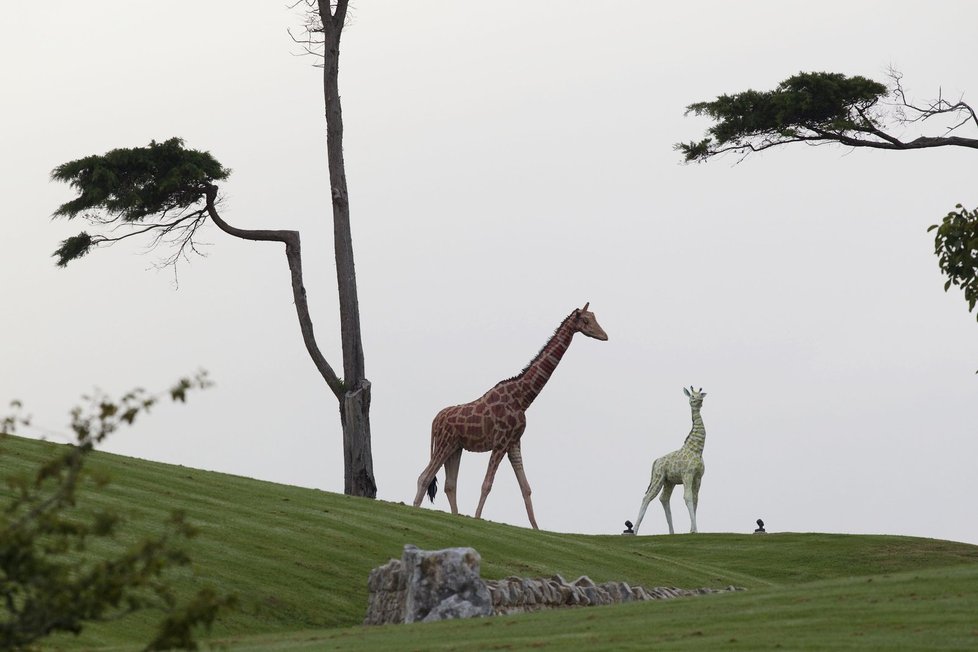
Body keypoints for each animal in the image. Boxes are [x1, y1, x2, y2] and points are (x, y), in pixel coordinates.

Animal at [410, 304, 608, 528]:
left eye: (594, 317)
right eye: (585, 320)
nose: (605, 336)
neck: (523, 398)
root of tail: (434, 421)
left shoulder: (514, 442)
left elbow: (526, 488)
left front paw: (536, 528)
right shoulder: (501, 441)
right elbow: (487, 484)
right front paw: (477, 520)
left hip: (455, 447)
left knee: (449, 484)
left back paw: (454, 517)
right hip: (444, 444)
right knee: (424, 477)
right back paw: (416, 511)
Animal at [628, 388, 704, 536]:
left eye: (700, 394)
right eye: (692, 396)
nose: (699, 401)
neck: (697, 449)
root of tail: (656, 461)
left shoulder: (698, 477)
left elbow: (696, 498)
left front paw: (692, 529)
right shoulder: (687, 474)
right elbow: (688, 497)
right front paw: (695, 530)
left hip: (669, 481)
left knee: (664, 498)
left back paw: (672, 532)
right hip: (658, 477)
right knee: (647, 497)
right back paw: (634, 530)